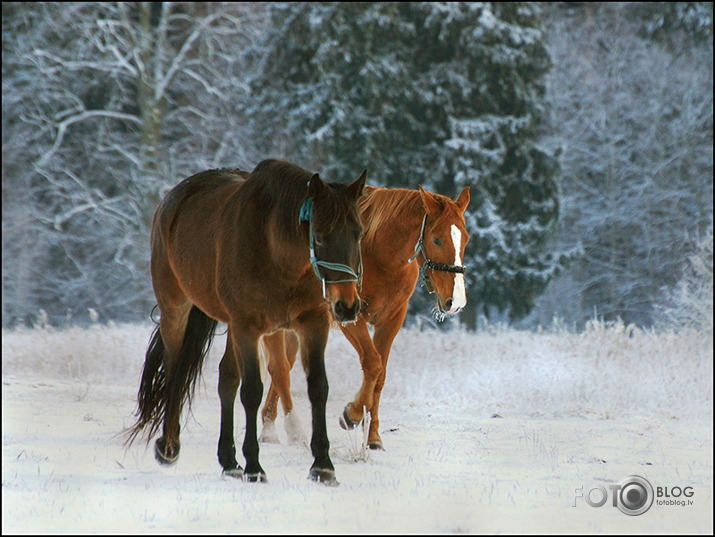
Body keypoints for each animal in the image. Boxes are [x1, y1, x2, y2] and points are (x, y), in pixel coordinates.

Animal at [125, 157, 366, 484]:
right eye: (319, 236)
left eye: (359, 233)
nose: (347, 306)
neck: (277, 253)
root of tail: (172, 200)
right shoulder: (248, 327)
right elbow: (252, 391)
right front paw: (254, 466)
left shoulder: (312, 325)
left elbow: (318, 387)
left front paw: (323, 465)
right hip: (176, 308)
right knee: (175, 371)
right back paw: (169, 446)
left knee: (226, 379)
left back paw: (228, 461)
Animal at [260, 184, 472, 448]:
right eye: (436, 239)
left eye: (466, 239)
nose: (456, 302)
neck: (381, 255)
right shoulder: (349, 316)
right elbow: (372, 362)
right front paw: (351, 414)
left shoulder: (392, 320)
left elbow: (380, 375)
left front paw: (372, 435)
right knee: (278, 368)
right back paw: (282, 431)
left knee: (284, 366)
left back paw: (271, 423)